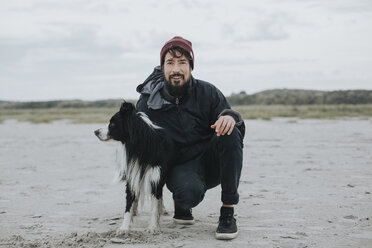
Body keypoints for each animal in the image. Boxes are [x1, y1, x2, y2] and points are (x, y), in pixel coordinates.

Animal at [94, 101, 173, 233]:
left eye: (113, 124)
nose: (95, 132)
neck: (139, 146)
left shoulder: (156, 176)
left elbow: (154, 205)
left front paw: (153, 227)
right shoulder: (132, 173)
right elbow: (128, 205)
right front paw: (124, 228)